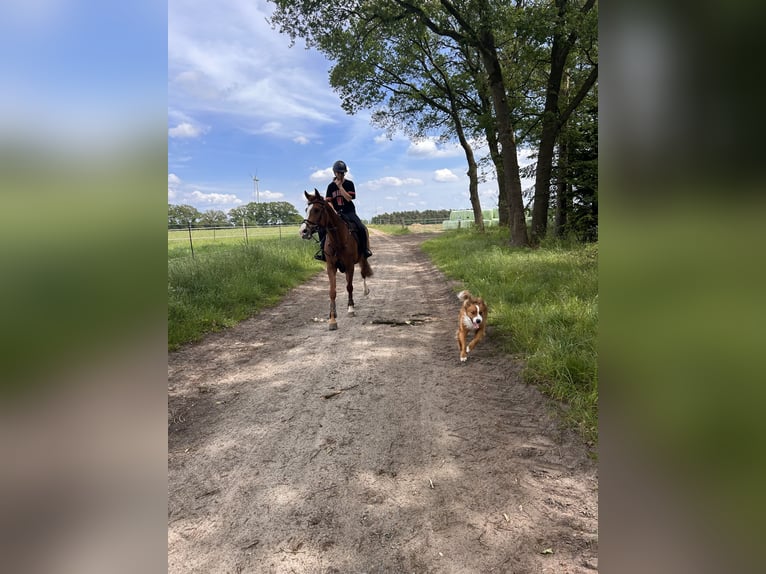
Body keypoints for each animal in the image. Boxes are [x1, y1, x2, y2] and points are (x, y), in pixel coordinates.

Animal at [299, 189, 373, 330]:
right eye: (306, 209)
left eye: (316, 210)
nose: (303, 231)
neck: (337, 239)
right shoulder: (331, 267)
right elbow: (332, 291)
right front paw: (332, 318)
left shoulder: (350, 266)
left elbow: (349, 287)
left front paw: (350, 309)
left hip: (362, 258)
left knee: (363, 274)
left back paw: (365, 291)